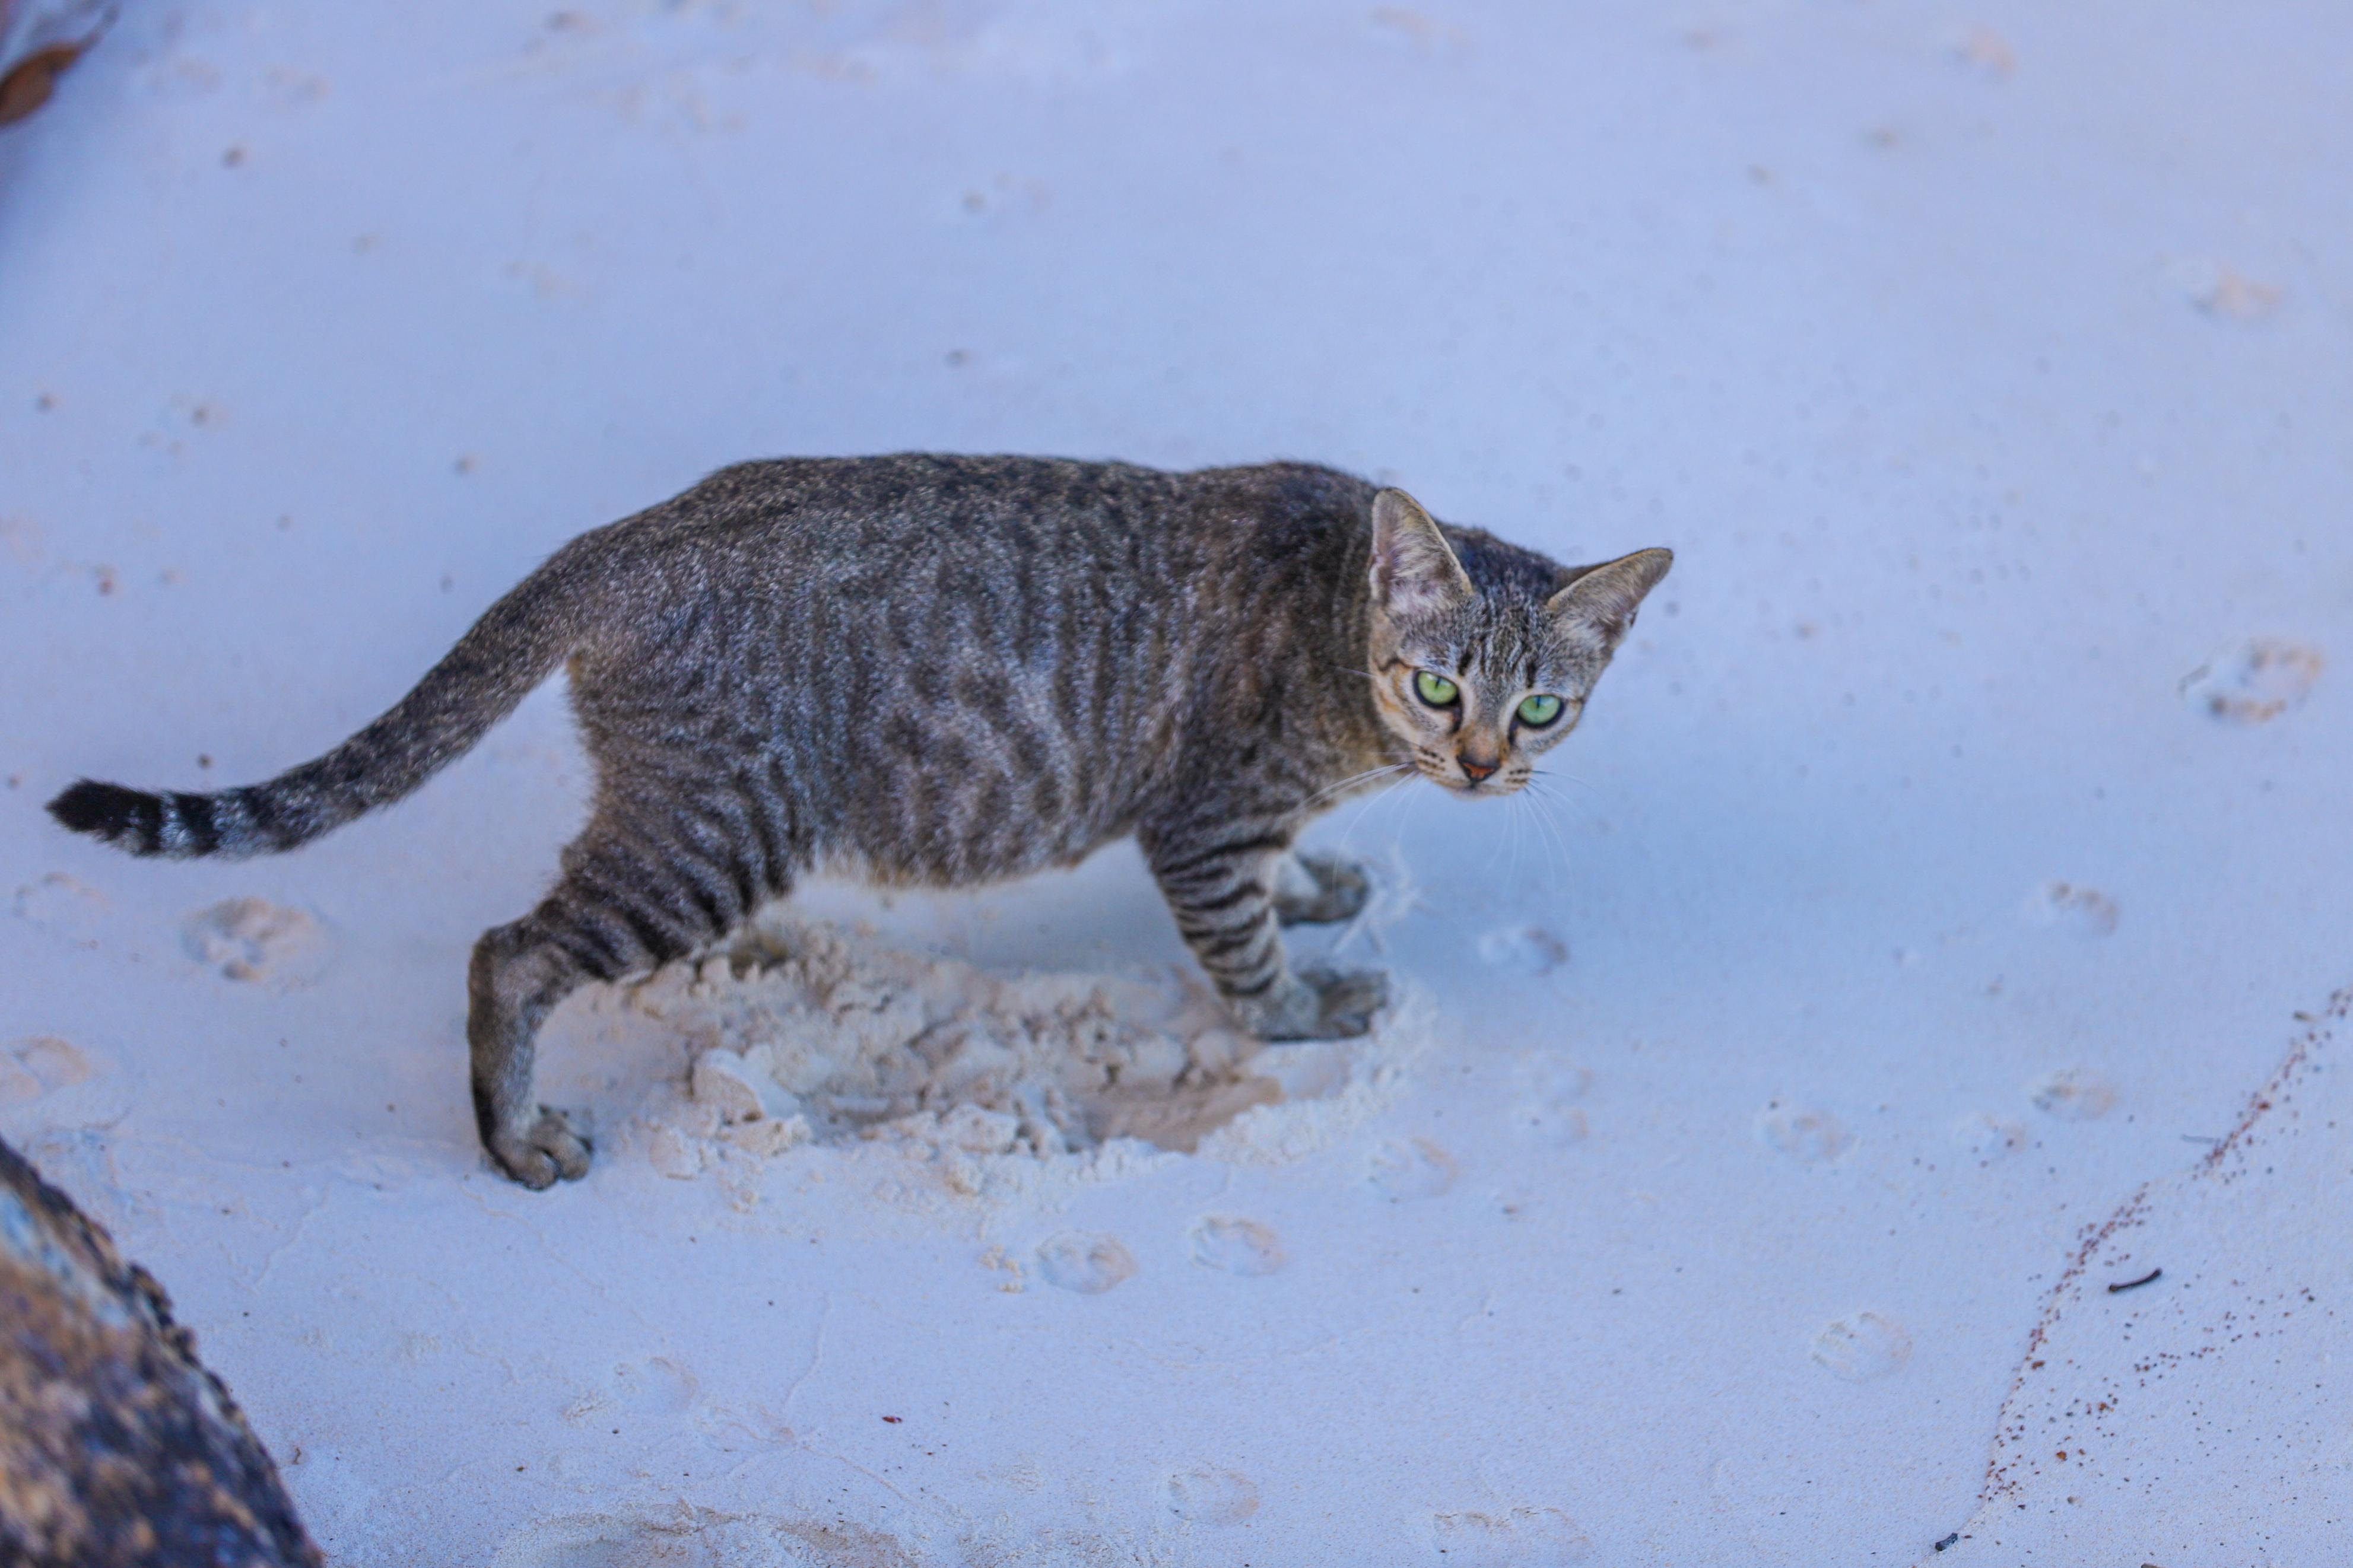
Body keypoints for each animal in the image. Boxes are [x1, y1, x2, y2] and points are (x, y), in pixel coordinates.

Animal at [55, 456, 1675, 1189]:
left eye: (1539, 708)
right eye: (1432, 681)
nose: (1477, 763)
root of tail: (623, 535)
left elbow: (1287, 889)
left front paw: (1329, 879)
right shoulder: (1205, 827)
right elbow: (1245, 961)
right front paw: (1304, 1000)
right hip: (715, 834)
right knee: (506, 952)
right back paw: (514, 1134)